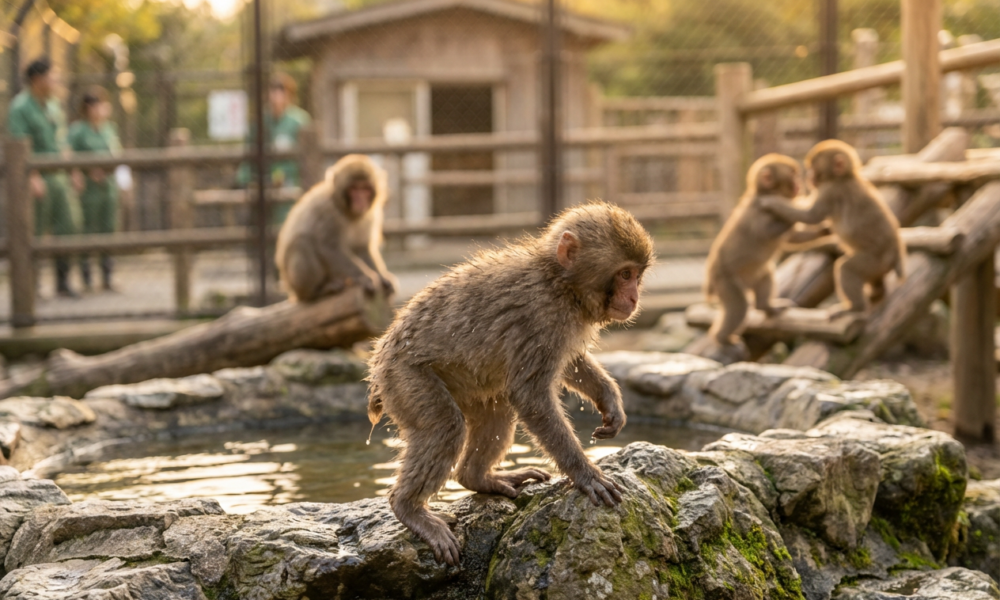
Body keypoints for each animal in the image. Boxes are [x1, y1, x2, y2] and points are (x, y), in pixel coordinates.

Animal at [275, 154, 398, 302]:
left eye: (365, 189)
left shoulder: (372, 215)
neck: (349, 212)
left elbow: (362, 248)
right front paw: (364, 277)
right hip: (294, 284)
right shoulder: (328, 212)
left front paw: (382, 276)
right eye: (354, 189)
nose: (360, 201)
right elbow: (329, 247)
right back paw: (318, 291)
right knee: (301, 242)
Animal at [366, 202, 655, 566]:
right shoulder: (542, 317)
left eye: (637, 275)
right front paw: (584, 474)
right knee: (446, 426)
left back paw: (477, 477)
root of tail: (380, 358)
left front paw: (609, 400)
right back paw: (409, 508)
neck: (560, 282)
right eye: (625, 275)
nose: (634, 298)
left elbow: (570, 363)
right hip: (403, 377)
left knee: (497, 411)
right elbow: (531, 396)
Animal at [703, 153, 816, 347]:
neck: (766, 192)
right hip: (725, 281)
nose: (799, 184)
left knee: (766, 277)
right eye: (792, 174)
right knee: (739, 306)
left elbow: (793, 238)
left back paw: (767, 306)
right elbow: (767, 232)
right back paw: (723, 338)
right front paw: (794, 208)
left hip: (755, 274)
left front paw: (825, 230)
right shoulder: (758, 213)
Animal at [758, 140, 905, 318]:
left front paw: (772, 202)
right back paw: (877, 294)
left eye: (814, 168)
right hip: (879, 267)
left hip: (876, 261)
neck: (844, 176)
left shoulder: (830, 190)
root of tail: (897, 253)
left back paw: (855, 308)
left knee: (847, 268)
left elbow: (811, 216)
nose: (808, 176)